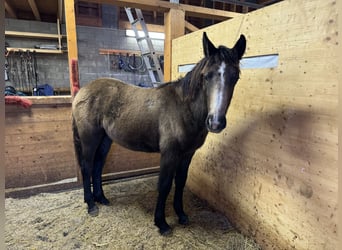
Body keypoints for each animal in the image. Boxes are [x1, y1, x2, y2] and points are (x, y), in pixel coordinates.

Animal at [72, 32, 246, 235]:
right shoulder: (169, 154)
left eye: (235, 76)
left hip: (105, 139)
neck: (183, 108)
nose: (216, 122)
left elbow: (180, 182)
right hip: (89, 138)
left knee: (98, 165)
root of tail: (82, 91)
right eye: (206, 76)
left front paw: (181, 215)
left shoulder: (187, 154)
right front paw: (161, 223)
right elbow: (164, 185)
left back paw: (101, 198)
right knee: (87, 166)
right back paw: (91, 204)